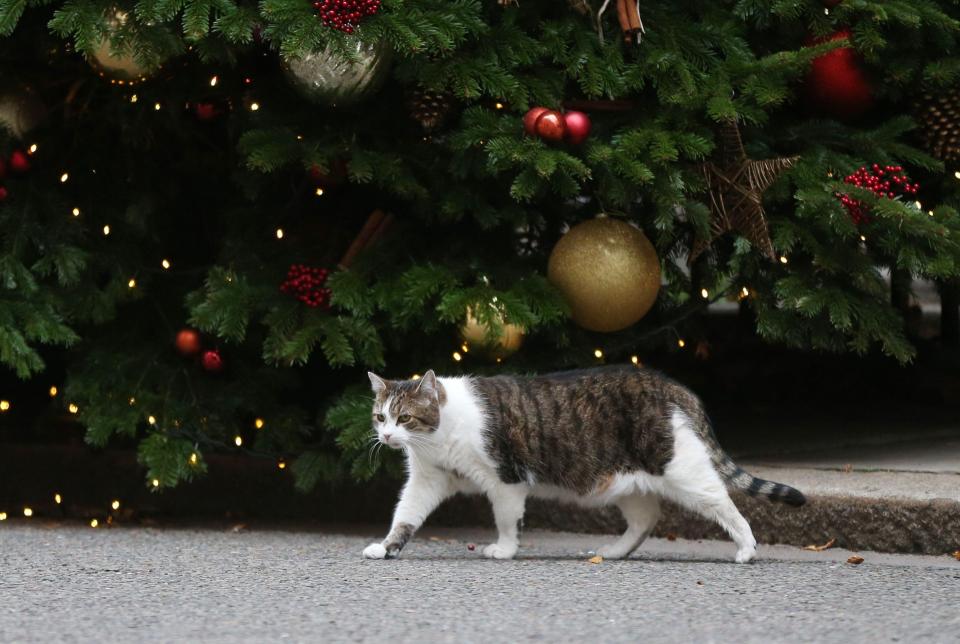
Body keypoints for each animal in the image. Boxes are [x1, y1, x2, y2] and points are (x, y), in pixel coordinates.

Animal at [360, 368, 804, 564]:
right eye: (380, 417)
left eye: (405, 418)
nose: (387, 437)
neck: (439, 437)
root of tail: (670, 384)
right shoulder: (427, 480)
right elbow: (405, 515)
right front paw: (386, 546)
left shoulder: (505, 481)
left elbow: (506, 520)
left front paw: (504, 550)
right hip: (626, 482)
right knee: (646, 518)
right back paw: (614, 552)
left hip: (682, 470)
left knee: (724, 502)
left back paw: (746, 548)